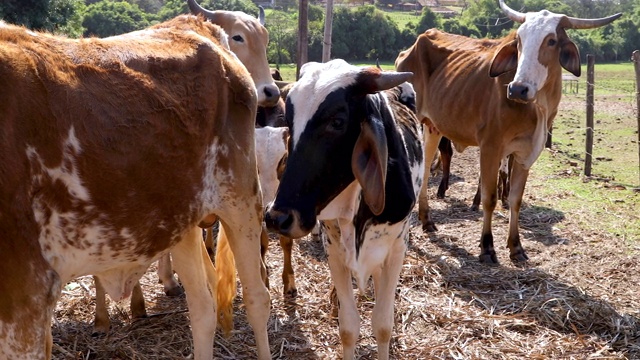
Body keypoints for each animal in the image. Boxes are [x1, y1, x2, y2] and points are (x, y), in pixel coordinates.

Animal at [0, 12, 272, 358]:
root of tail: (196, 25)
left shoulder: (26, 296)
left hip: (241, 202)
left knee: (256, 299)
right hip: (180, 220)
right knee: (203, 308)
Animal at [264, 59, 424, 360]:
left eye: (337, 122)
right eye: (289, 122)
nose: (277, 217)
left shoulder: (397, 247)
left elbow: (383, 324)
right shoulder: (335, 250)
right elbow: (349, 328)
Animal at [396, 0, 620, 264]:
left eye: (551, 40)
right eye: (519, 39)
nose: (517, 89)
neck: (536, 107)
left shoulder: (524, 155)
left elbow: (515, 200)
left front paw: (516, 246)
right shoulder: (490, 149)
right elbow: (489, 198)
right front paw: (487, 246)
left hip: (432, 127)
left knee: (426, 168)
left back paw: (427, 220)